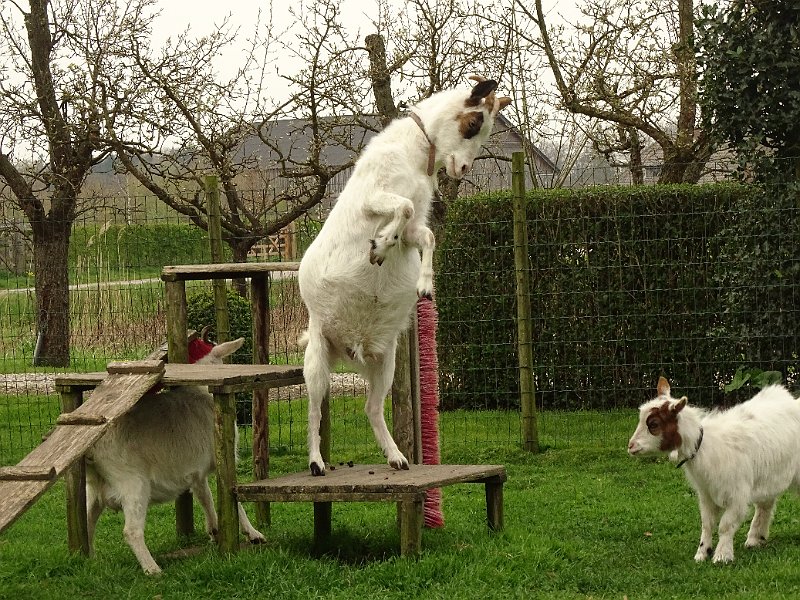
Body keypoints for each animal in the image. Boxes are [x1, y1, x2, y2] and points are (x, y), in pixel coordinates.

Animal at [86, 336, 264, 576]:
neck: (201, 391)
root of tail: (92, 448)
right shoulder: (217, 459)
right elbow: (231, 496)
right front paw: (253, 534)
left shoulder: (197, 471)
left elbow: (206, 497)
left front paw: (214, 531)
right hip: (132, 482)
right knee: (131, 531)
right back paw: (153, 569)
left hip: (94, 486)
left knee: (86, 521)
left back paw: (87, 559)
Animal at [298, 75, 512, 476]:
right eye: (473, 122)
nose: (462, 169)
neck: (414, 153)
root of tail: (350, 352)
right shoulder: (375, 197)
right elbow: (405, 206)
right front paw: (380, 245)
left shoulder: (415, 228)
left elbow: (425, 234)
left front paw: (424, 283)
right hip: (317, 358)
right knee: (314, 409)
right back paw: (317, 462)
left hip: (386, 363)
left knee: (371, 407)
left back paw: (396, 456)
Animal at [628, 378, 800, 564]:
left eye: (653, 424)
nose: (631, 446)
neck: (704, 446)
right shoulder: (706, 494)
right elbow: (707, 524)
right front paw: (702, 553)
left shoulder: (737, 495)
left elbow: (725, 525)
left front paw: (722, 556)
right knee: (765, 505)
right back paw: (755, 539)